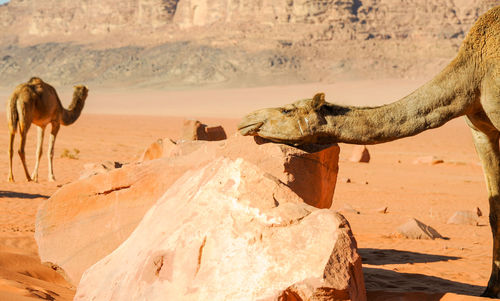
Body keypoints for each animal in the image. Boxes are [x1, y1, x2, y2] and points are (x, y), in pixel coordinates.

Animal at [238, 5, 500, 296]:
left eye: (287, 110)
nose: (246, 119)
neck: (474, 72)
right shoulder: (480, 130)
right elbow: (494, 209)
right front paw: (491, 288)